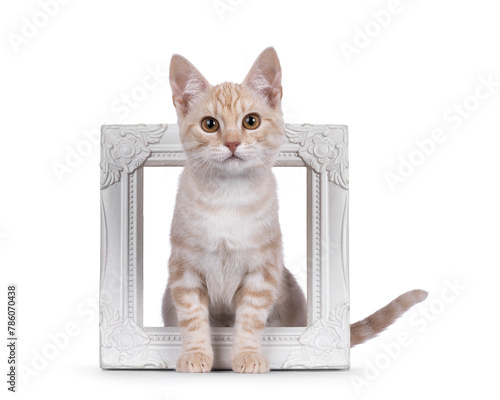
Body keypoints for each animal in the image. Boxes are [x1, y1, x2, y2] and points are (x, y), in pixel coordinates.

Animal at [162, 48, 428, 374]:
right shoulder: (184, 269)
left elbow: (249, 321)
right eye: (210, 124)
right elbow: (192, 319)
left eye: (251, 121)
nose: (233, 142)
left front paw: (247, 356)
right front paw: (196, 354)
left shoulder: (263, 271)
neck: (228, 198)